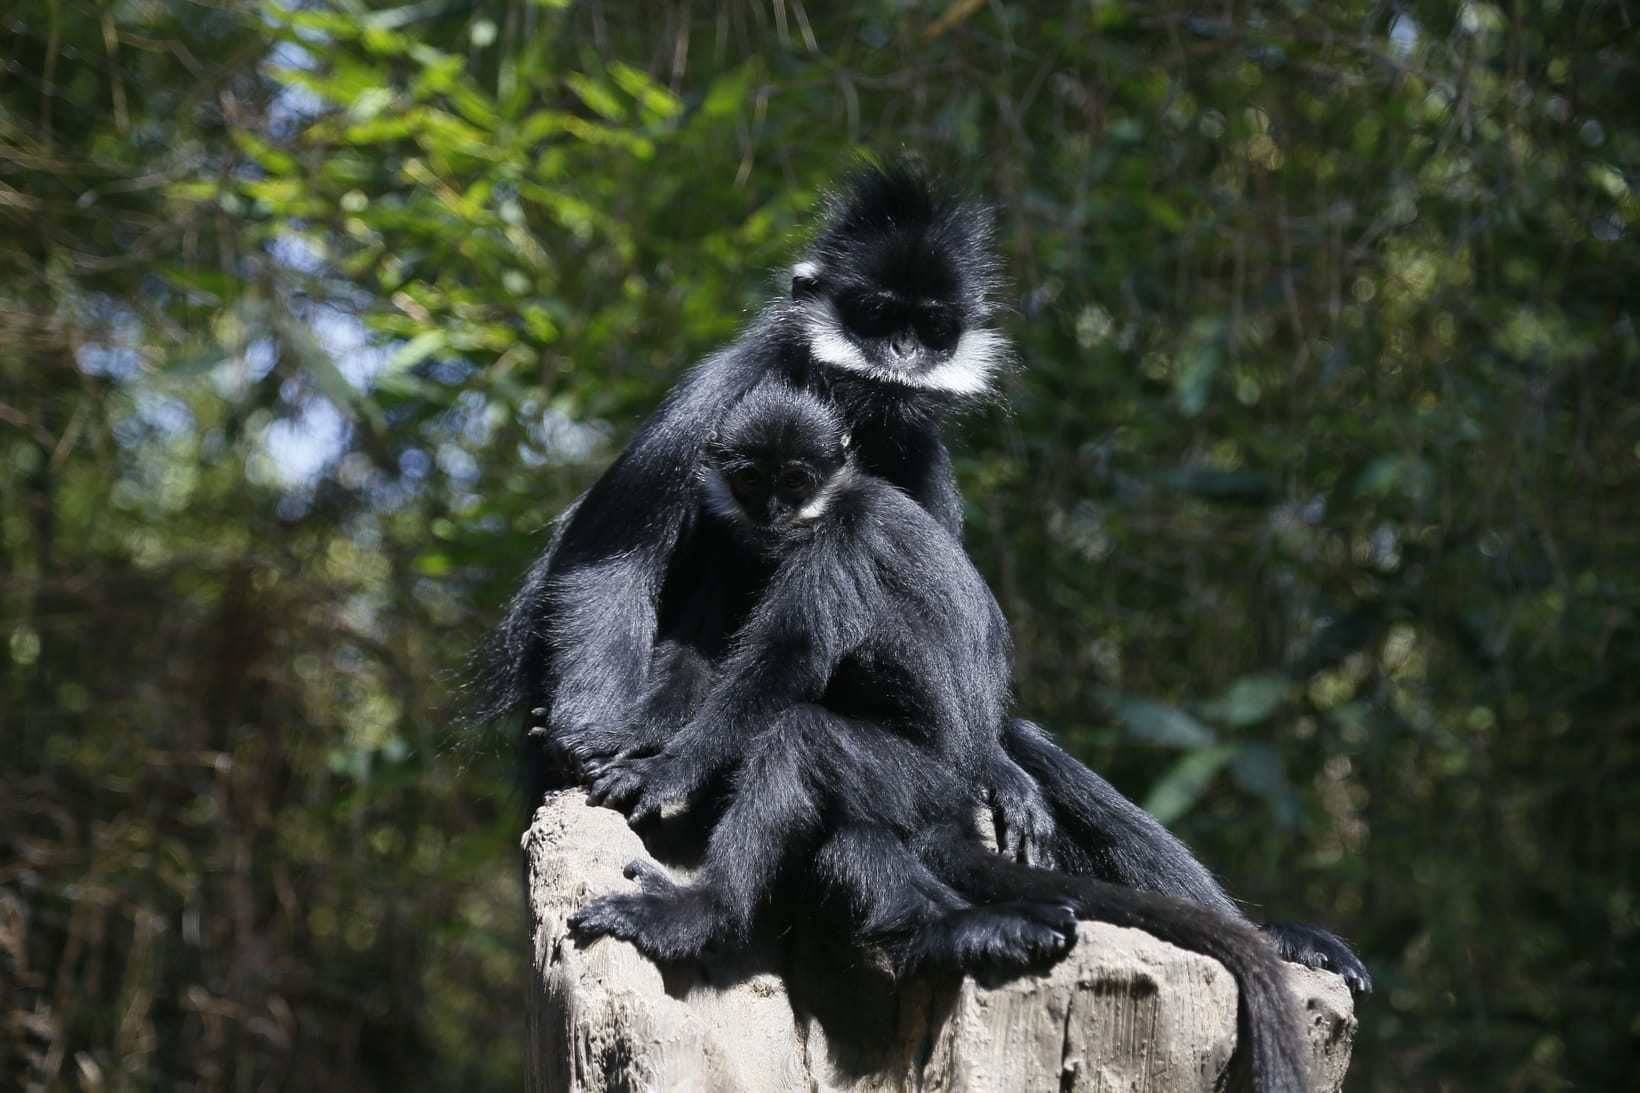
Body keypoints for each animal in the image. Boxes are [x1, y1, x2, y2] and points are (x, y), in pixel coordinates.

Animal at [573, 384, 1313, 1093]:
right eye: (753, 478)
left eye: (797, 479)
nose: (774, 513)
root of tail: (960, 803)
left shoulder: (844, 537)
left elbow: (787, 663)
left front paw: (666, 768)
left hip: (916, 778)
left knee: (801, 737)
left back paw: (704, 915)